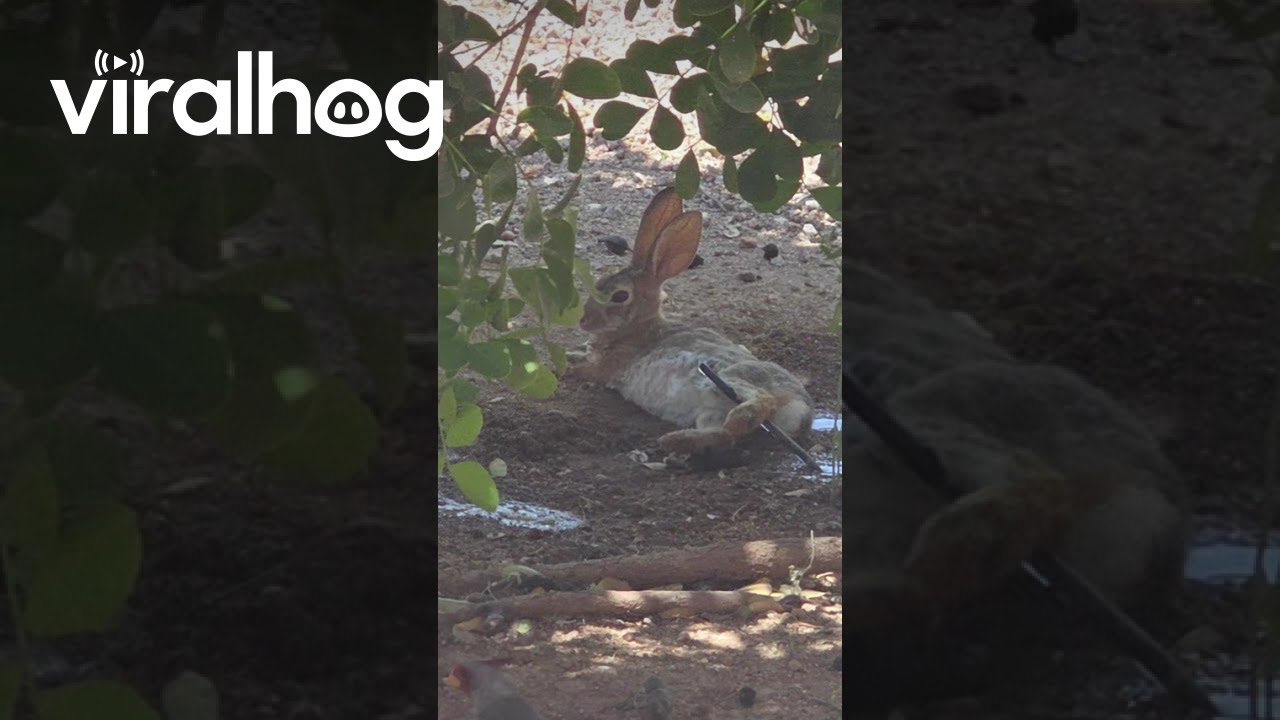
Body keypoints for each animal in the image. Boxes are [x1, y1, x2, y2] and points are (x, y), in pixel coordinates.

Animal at [574, 187, 815, 458]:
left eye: (620, 296)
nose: (583, 321)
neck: (639, 327)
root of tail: (800, 408)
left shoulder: (607, 367)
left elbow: (580, 370)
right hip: (709, 409)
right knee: (723, 436)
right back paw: (677, 441)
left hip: (727, 375)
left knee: (760, 401)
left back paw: (733, 419)